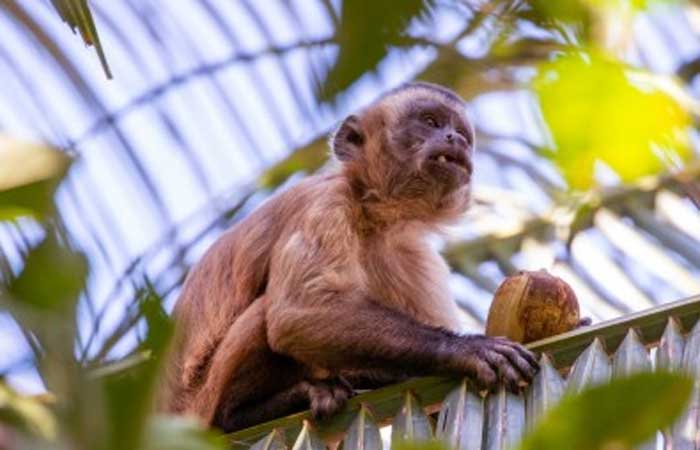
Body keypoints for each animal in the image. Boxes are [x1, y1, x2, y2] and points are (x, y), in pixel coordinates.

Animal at [160, 81, 540, 432]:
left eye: (461, 133)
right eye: (430, 122)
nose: (454, 139)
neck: (371, 215)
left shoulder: (412, 252)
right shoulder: (324, 203)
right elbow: (298, 313)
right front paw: (465, 350)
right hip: (202, 402)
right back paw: (241, 414)